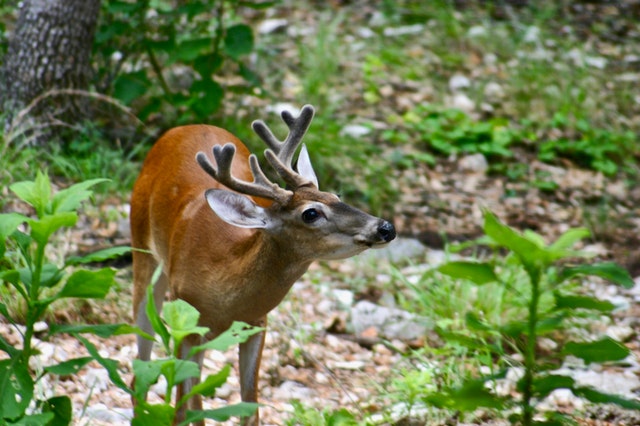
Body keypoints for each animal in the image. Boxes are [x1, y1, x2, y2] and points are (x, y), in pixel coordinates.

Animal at [130, 104, 396, 426]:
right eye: (310, 213)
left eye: (336, 196)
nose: (385, 227)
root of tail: (183, 127)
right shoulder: (186, 321)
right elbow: (183, 409)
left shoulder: (257, 323)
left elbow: (249, 408)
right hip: (142, 249)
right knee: (140, 369)